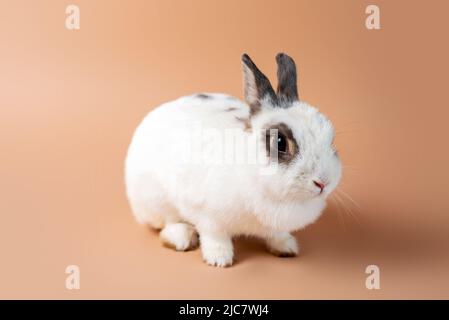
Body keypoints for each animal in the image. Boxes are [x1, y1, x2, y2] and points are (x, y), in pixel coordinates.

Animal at [124, 53, 342, 268]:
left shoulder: (274, 226)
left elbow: (276, 234)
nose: (323, 183)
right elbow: (215, 236)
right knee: (167, 223)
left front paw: (286, 248)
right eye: (280, 142)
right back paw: (182, 237)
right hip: (156, 200)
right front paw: (219, 258)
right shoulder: (208, 216)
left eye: (331, 137)